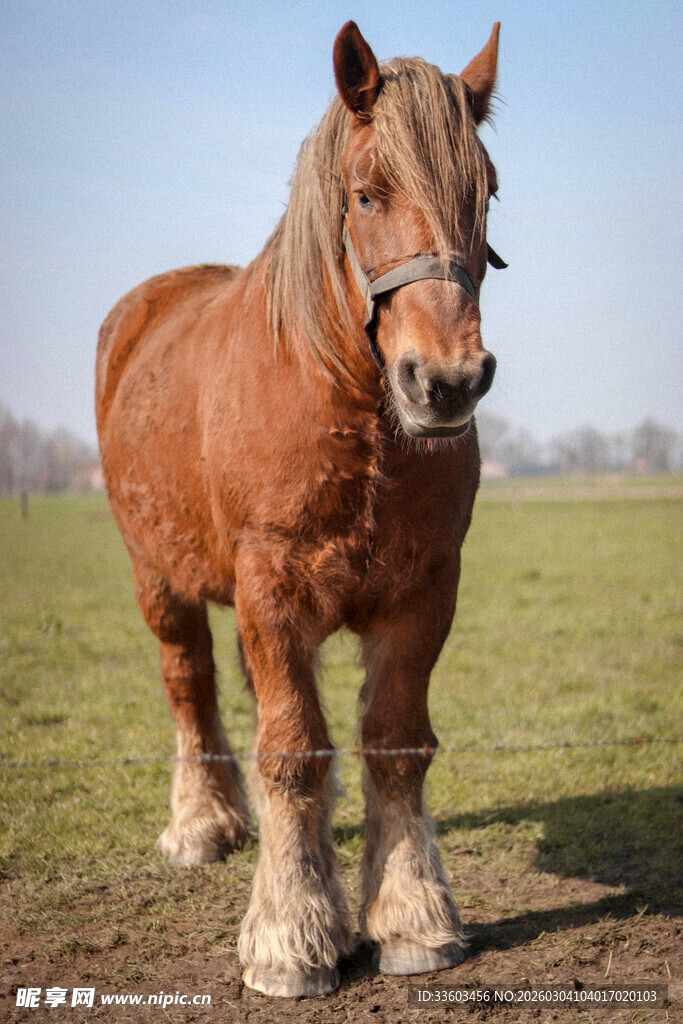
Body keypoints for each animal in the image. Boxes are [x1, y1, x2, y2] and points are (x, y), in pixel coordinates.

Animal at [95, 21, 504, 998]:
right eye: (365, 194)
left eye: (487, 192)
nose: (447, 381)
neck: (354, 413)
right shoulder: (269, 588)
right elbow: (290, 750)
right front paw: (290, 934)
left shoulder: (422, 591)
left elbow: (391, 741)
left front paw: (410, 918)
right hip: (159, 578)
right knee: (190, 684)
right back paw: (202, 824)